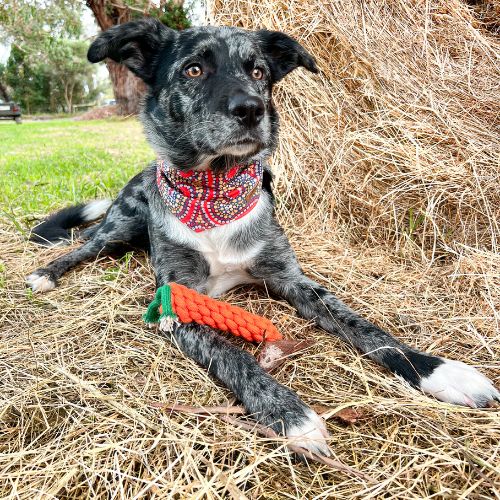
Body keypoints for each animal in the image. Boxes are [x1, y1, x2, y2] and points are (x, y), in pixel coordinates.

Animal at [27, 18, 500, 458]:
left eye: (257, 71)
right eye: (194, 69)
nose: (251, 109)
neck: (216, 191)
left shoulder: (292, 279)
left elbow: (364, 327)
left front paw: (438, 371)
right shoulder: (178, 304)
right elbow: (233, 355)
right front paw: (289, 413)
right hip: (120, 225)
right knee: (83, 246)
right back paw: (47, 274)